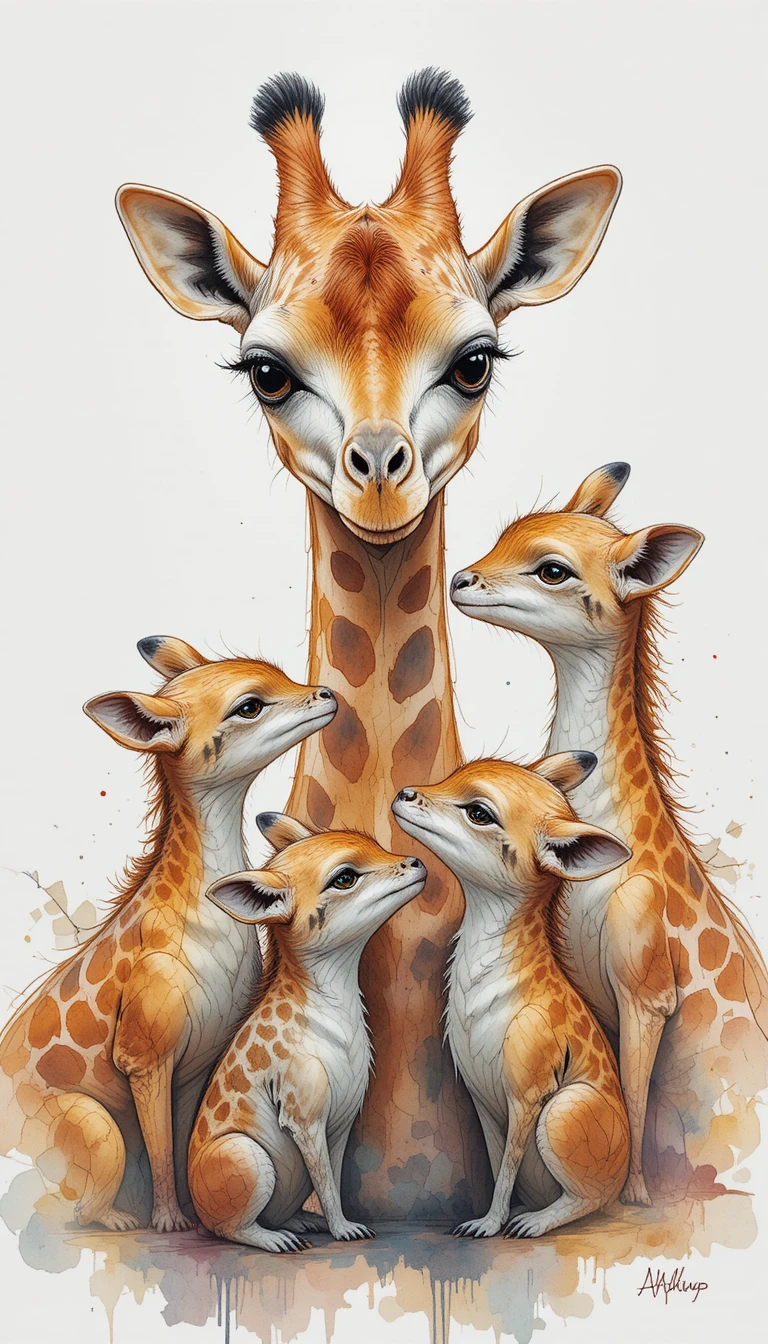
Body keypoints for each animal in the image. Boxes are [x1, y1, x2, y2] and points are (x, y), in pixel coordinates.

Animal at [0, 638, 336, 1230]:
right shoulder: (144, 1054)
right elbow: (158, 1145)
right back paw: (118, 1218)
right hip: (93, 1123)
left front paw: (198, 1216)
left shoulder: (195, 1061)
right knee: (72, 1203)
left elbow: (178, 1143)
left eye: (281, 674)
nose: (327, 694)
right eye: (248, 704)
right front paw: (170, 1221)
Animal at [393, 754, 631, 1237]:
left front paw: (489, 1226)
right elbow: (499, 1162)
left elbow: (505, 1169)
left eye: (479, 812)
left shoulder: (527, 1094)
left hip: (562, 1110)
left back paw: (536, 1221)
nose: (405, 793)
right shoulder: (483, 1099)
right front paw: (490, 1217)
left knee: (591, 1198)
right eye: (452, 776)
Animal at [451, 464, 768, 1205]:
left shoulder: (646, 990)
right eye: (503, 535)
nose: (461, 579)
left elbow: (630, 1087)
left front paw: (635, 1196)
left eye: (553, 568)